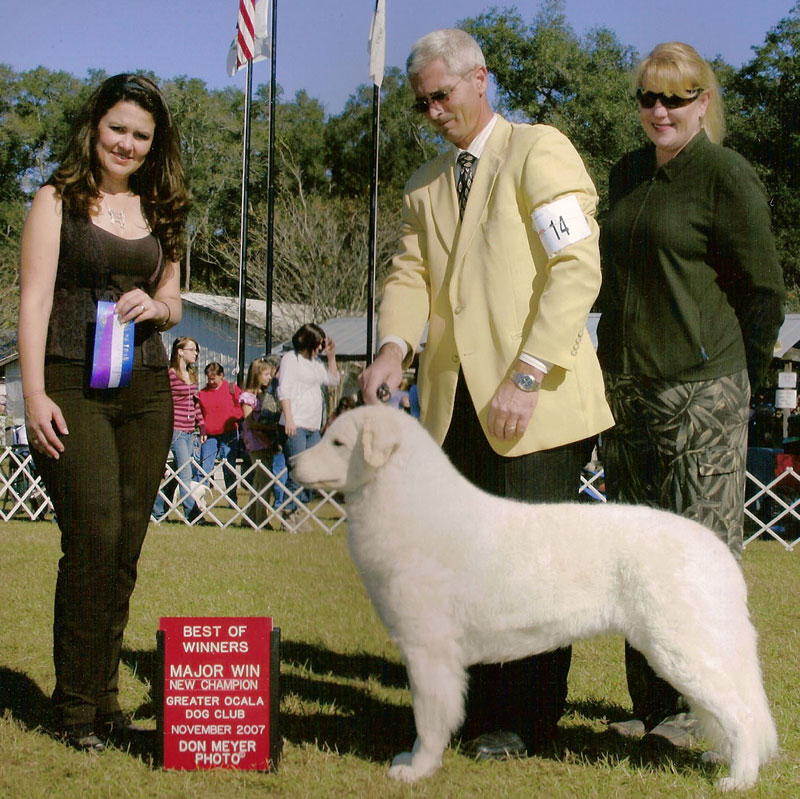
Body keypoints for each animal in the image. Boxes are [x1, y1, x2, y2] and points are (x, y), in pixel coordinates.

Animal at [290, 410, 780, 792]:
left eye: (338, 442)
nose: (292, 463)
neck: (409, 504)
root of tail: (714, 549)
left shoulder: (429, 651)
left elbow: (429, 721)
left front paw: (417, 770)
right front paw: (414, 763)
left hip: (679, 650)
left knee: (739, 714)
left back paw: (738, 778)